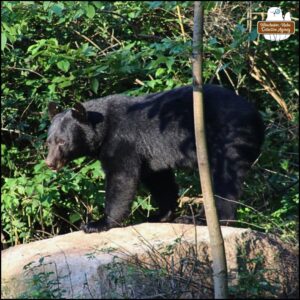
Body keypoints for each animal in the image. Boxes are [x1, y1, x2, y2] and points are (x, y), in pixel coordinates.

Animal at [45, 85, 264, 233]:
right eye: (49, 142)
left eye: (62, 142)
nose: (49, 163)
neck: (103, 128)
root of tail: (257, 116)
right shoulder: (151, 154)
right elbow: (159, 179)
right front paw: (160, 215)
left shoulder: (123, 140)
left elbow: (122, 177)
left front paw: (98, 223)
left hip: (228, 137)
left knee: (225, 178)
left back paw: (204, 219)